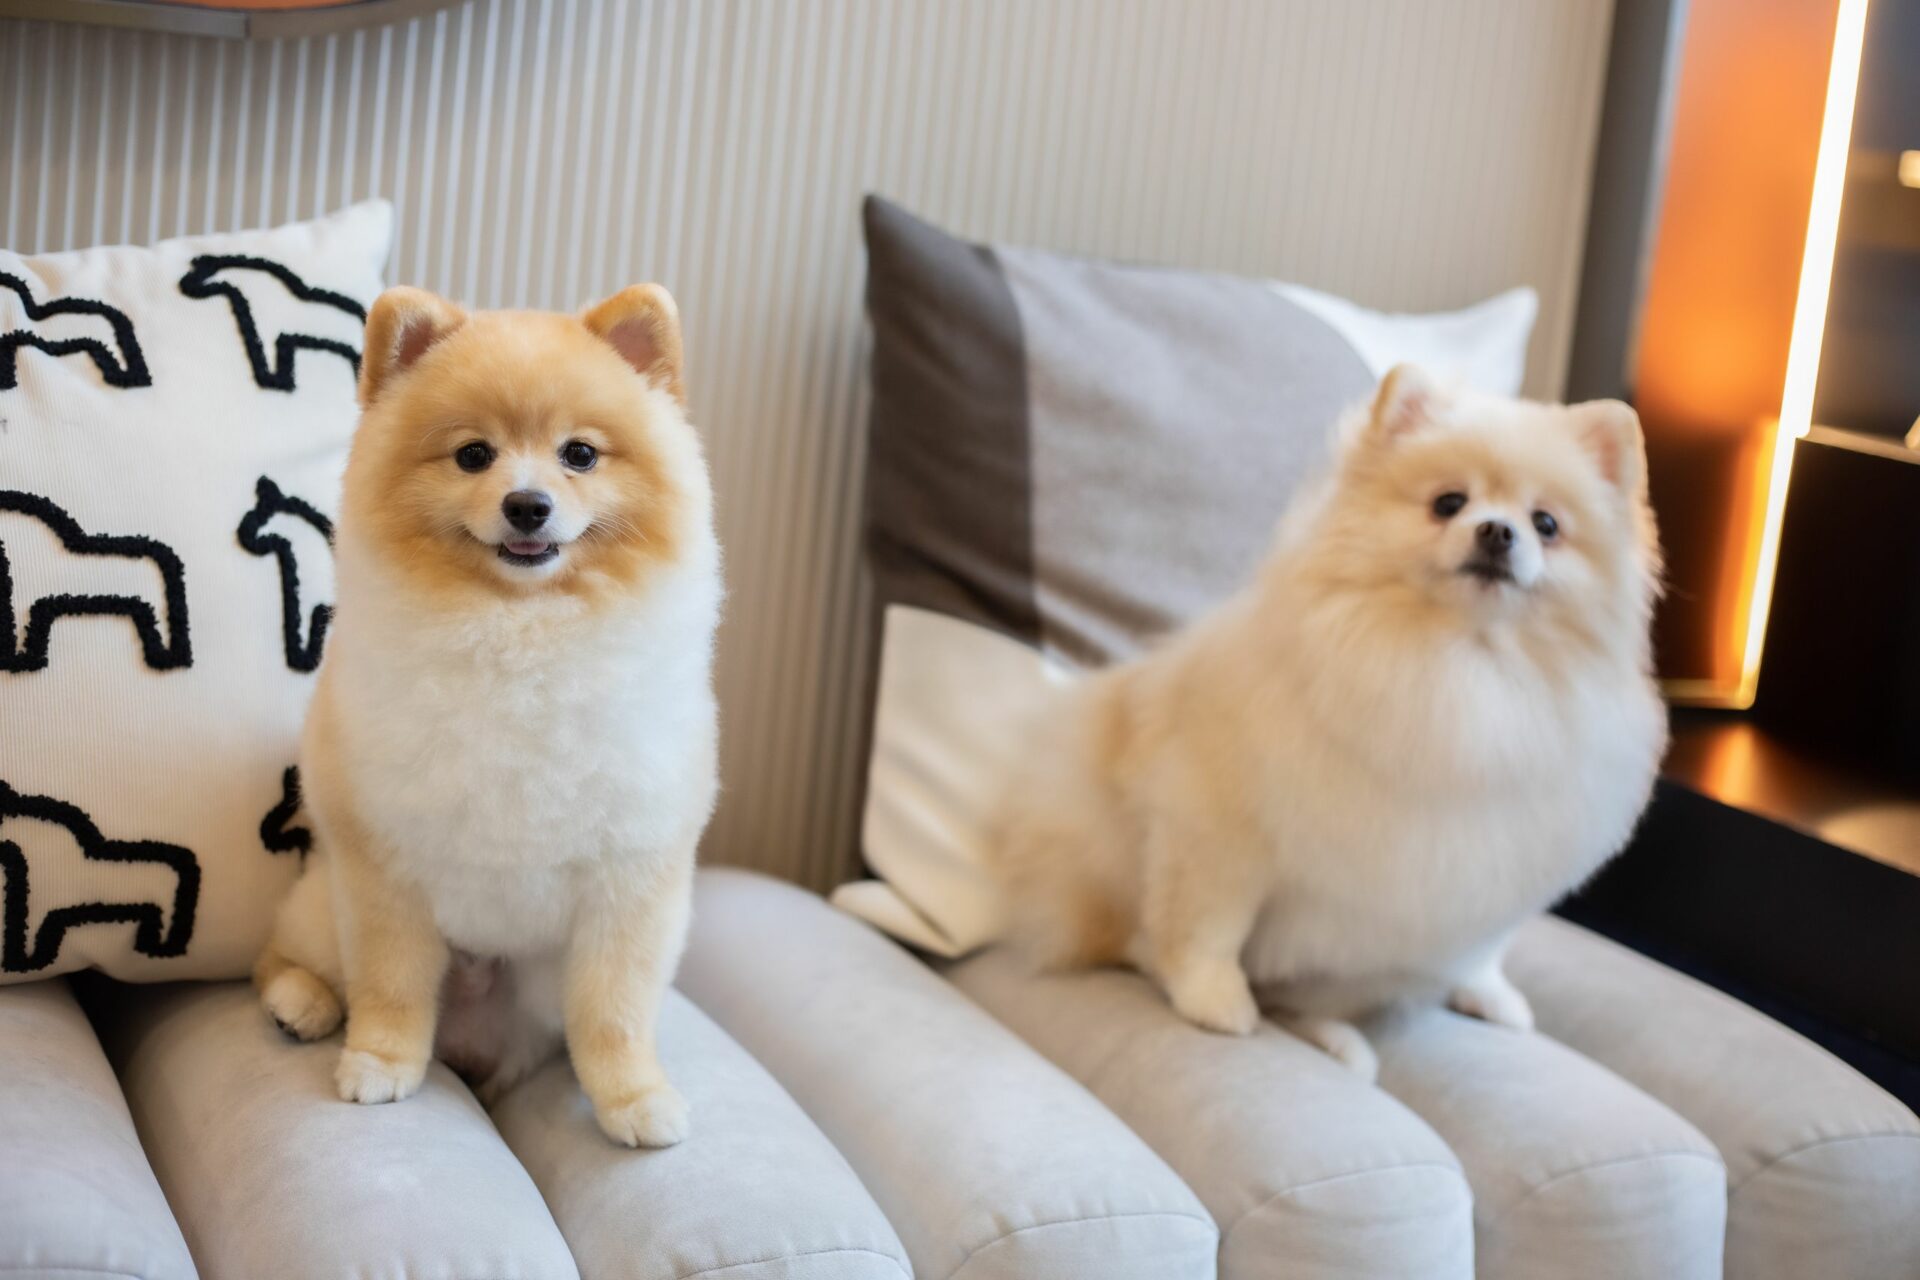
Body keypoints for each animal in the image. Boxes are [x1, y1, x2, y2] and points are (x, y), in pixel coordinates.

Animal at [253, 283, 721, 1147]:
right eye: (473, 455)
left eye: (580, 455)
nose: (527, 505)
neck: (520, 631)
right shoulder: (383, 868)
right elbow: (392, 985)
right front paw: (381, 1063)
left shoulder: (632, 881)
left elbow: (614, 1011)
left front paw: (633, 1098)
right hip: (320, 904)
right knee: (280, 955)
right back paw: (302, 1003)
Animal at [990, 364, 1665, 1080]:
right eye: (1449, 503)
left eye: (1546, 524)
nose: (1497, 531)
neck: (1459, 663)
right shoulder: (1219, 829)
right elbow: (1208, 927)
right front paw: (1212, 1000)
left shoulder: (1506, 868)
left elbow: (1485, 949)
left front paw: (1491, 996)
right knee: (1132, 936)